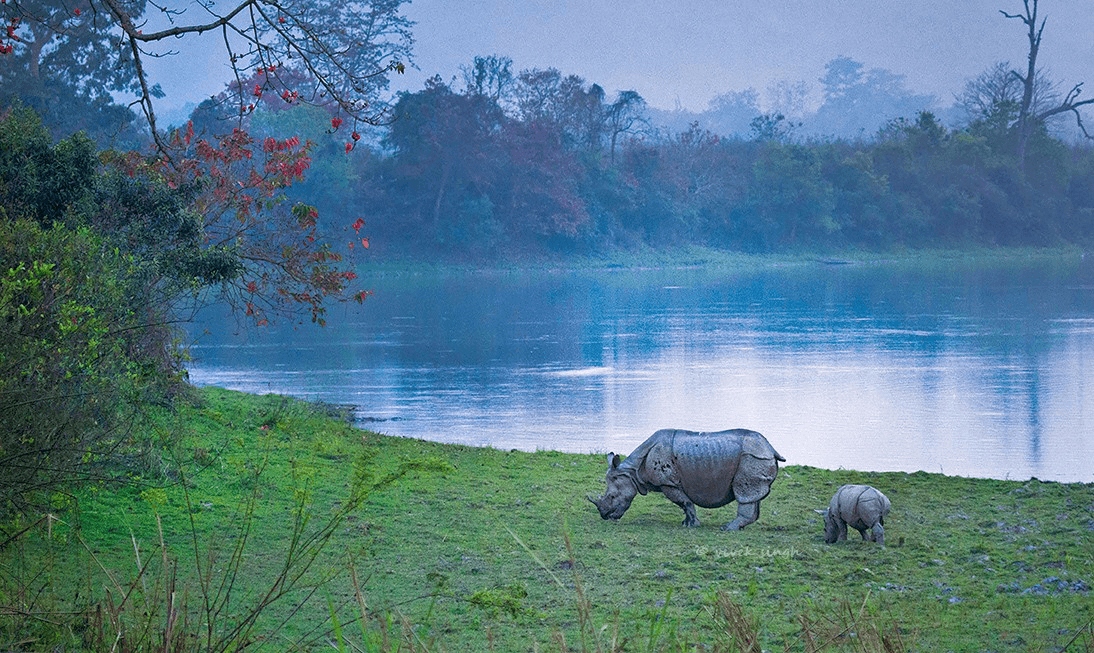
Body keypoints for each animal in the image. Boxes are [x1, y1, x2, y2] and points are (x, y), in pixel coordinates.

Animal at [588, 428, 785, 530]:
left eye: (613, 497)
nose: (605, 516)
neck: (632, 472)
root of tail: (770, 447)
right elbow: (685, 504)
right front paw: (687, 523)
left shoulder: (668, 482)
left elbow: (685, 502)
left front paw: (691, 525)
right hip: (755, 456)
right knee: (752, 494)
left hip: (752, 456)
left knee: (744, 492)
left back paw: (728, 528)